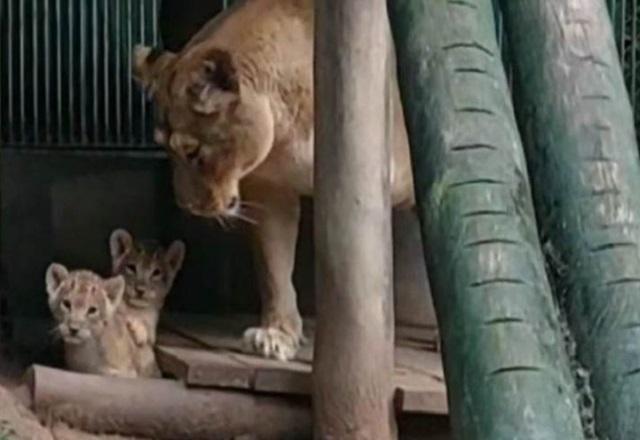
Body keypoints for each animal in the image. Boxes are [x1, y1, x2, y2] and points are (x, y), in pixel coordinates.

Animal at [134, 0, 416, 360]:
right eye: (166, 150)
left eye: (193, 152)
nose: (186, 206)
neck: (285, 127)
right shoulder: (271, 192)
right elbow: (274, 268)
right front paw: (277, 334)